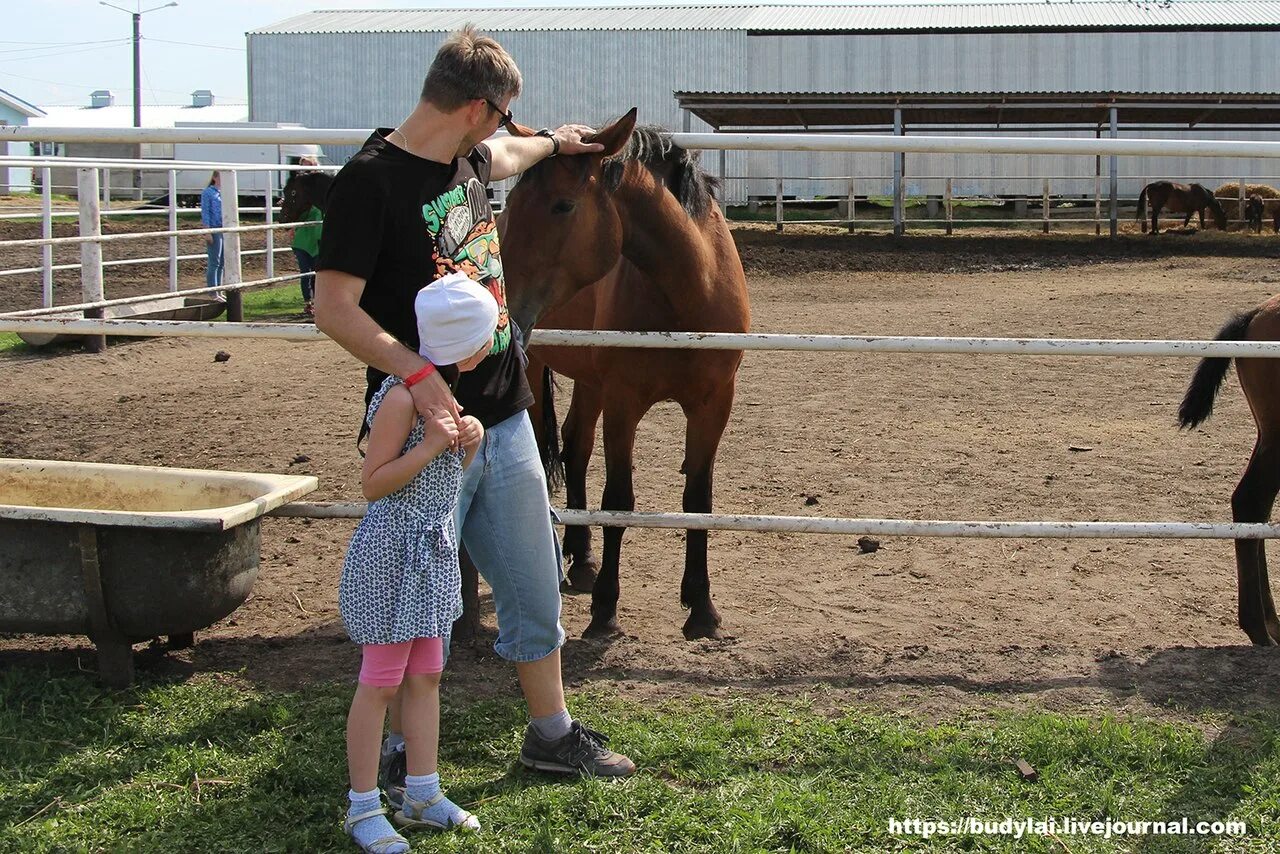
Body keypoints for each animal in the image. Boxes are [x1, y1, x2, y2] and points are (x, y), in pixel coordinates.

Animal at [496, 108, 747, 640]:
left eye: (563, 205)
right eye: (518, 202)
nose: (504, 299)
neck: (687, 293)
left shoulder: (714, 403)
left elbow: (698, 497)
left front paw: (701, 607)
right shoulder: (624, 402)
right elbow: (619, 498)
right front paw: (606, 610)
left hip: (591, 383)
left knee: (574, 446)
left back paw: (583, 558)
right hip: (554, 373)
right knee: (557, 448)